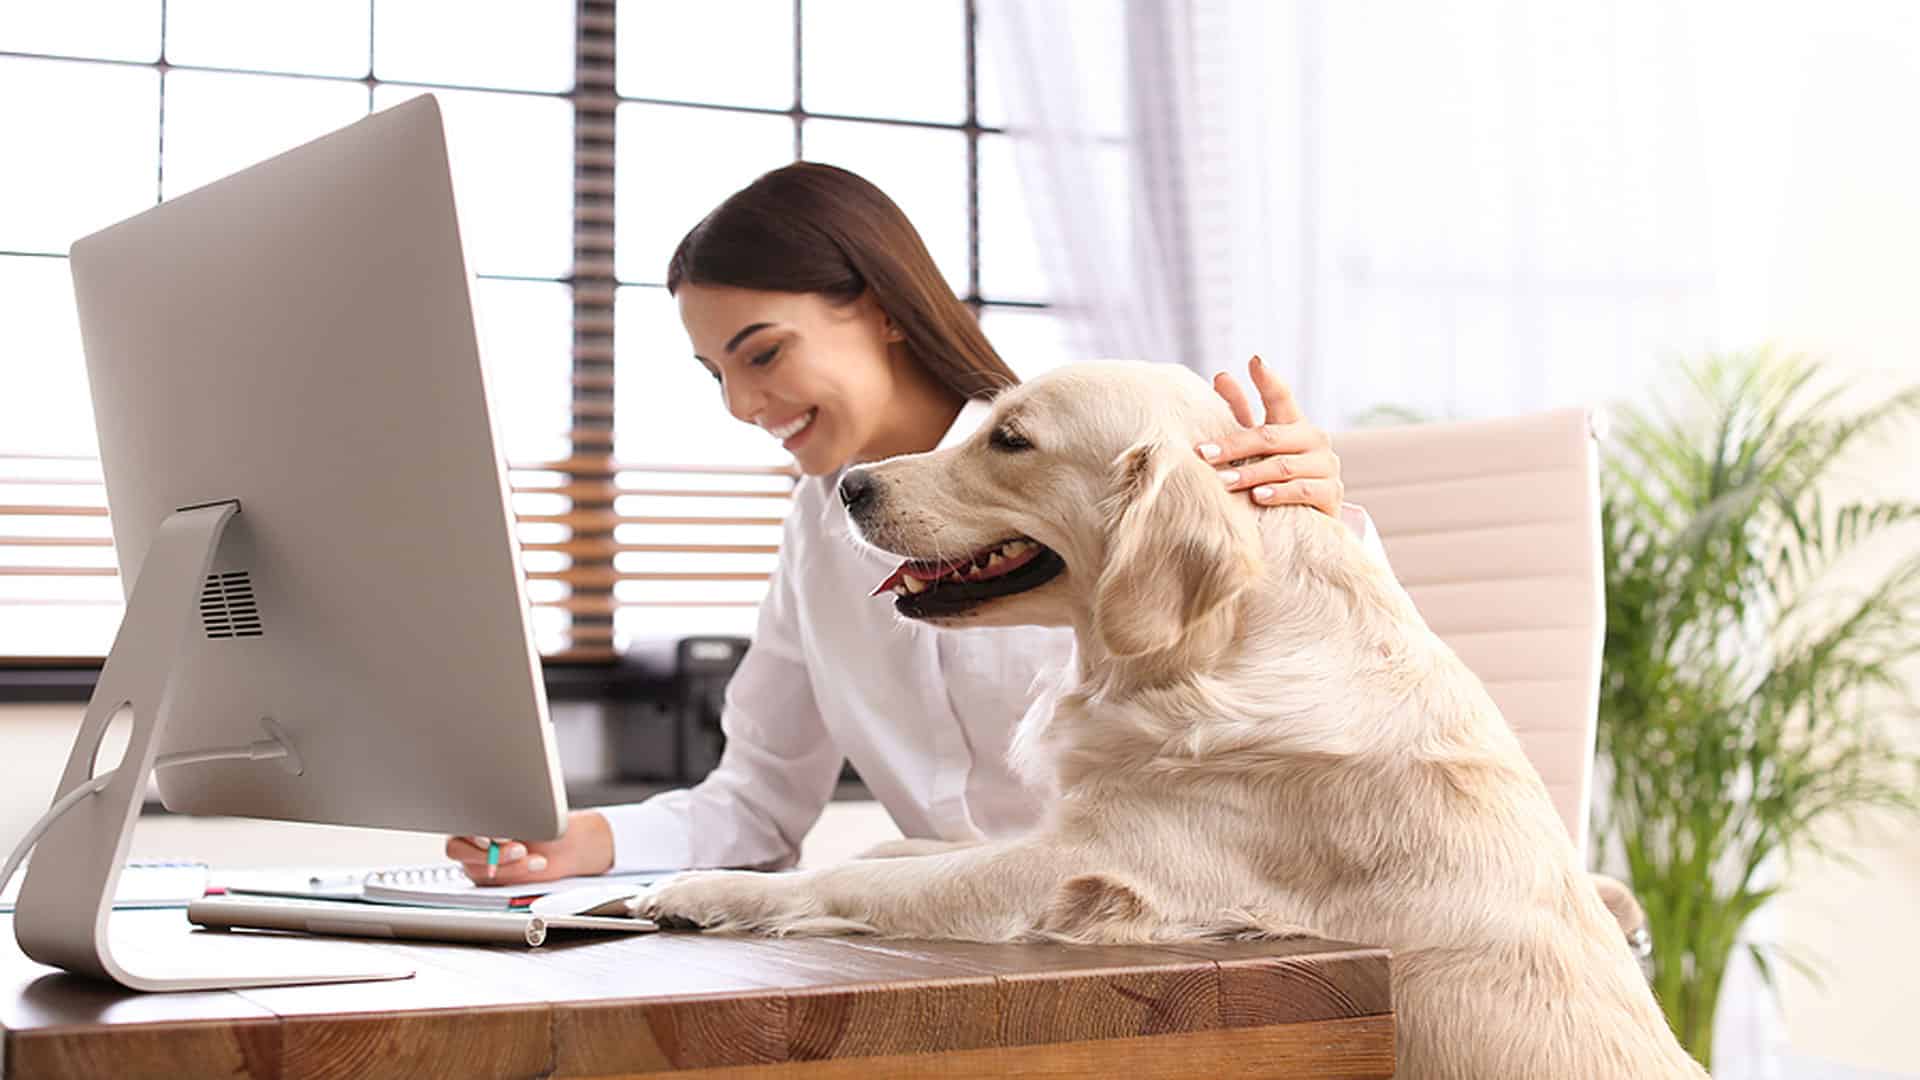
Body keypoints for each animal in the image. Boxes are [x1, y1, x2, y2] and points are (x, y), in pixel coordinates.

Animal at [637, 361, 1704, 1076]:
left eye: (1011, 440)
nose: (851, 485)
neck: (1203, 655)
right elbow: (895, 851)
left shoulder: (1090, 869)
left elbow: (873, 881)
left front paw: (707, 890)